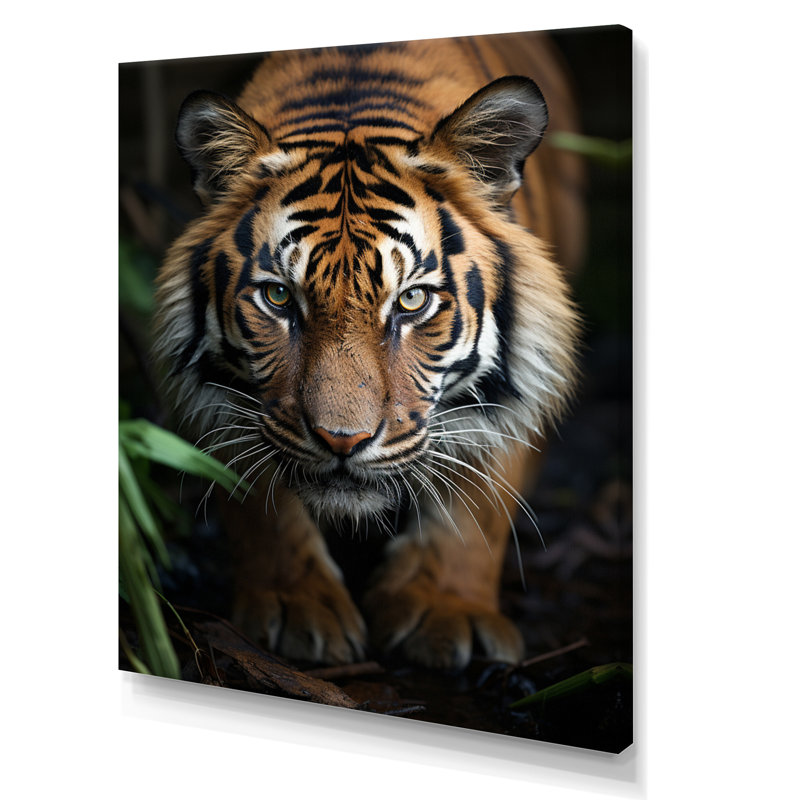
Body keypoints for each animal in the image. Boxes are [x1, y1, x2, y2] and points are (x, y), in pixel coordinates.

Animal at [153, 33, 583, 670]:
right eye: (279, 297)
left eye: (411, 301)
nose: (342, 442)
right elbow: (256, 504)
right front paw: (295, 606)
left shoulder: (518, 394)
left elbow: (478, 505)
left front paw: (446, 610)